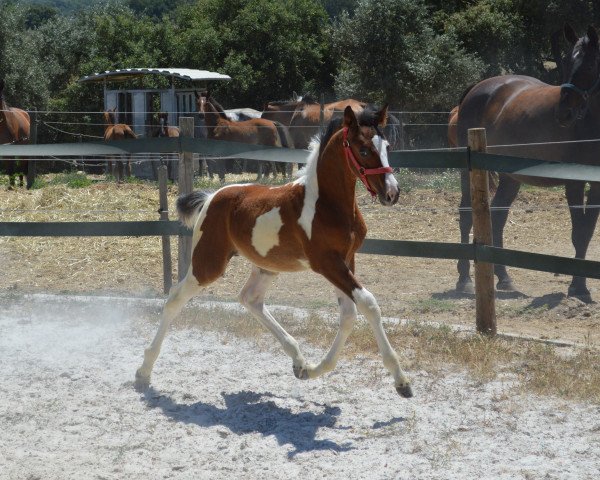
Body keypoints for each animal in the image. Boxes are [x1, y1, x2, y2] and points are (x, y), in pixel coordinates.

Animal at [134, 104, 412, 398]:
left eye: (387, 146)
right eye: (363, 149)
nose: (392, 193)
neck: (326, 204)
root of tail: (211, 197)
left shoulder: (346, 260)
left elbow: (348, 315)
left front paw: (314, 370)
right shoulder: (327, 263)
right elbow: (369, 304)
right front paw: (401, 381)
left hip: (266, 266)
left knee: (250, 299)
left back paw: (299, 361)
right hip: (208, 264)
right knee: (175, 298)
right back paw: (143, 372)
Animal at [454, 24, 600, 302]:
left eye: (589, 64)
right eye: (566, 60)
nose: (563, 113)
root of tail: (476, 89)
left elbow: (587, 230)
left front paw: (579, 285)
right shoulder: (574, 183)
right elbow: (579, 232)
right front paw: (578, 287)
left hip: (510, 178)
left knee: (497, 216)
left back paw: (503, 277)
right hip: (469, 174)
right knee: (466, 214)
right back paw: (464, 279)